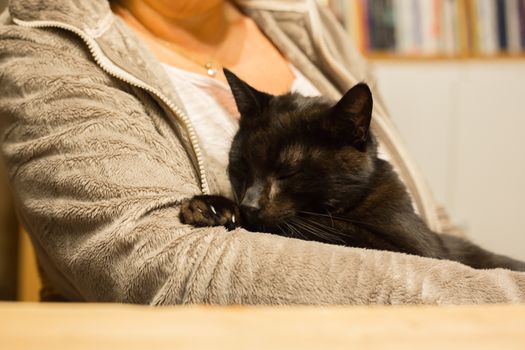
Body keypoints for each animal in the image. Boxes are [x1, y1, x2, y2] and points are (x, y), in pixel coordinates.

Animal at [180, 67, 524, 270]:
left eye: (289, 172)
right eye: (241, 167)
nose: (250, 204)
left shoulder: (418, 250)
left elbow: (317, 227)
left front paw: (217, 207)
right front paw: (214, 207)